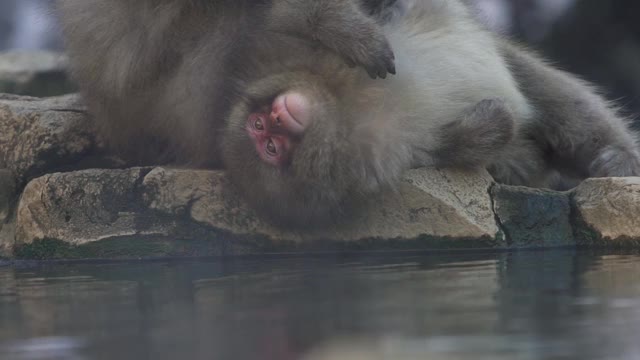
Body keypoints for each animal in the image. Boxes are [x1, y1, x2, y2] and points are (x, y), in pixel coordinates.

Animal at [56, 0, 640, 226]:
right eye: (266, 141)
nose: (272, 119)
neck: (349, 105)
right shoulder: (390, 154)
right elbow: (460, 142)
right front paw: (491, 132)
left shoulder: (270, 56)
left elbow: (281, 21)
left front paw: (348, 25)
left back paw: (616, 157)